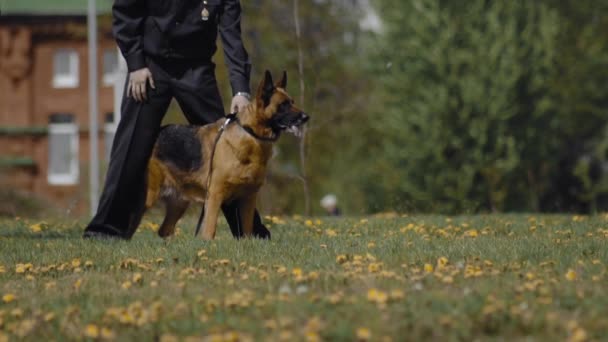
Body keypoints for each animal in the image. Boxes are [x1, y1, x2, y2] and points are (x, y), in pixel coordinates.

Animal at [144, 71, 308, 239]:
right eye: (283, 105)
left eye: (292, 102)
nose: (306, 117)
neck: (250, 133)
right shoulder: (215, 196)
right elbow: (209, 230)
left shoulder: (248, 198)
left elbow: (247, 230)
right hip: (150, 196)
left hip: (179, 203)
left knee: (164, 230)